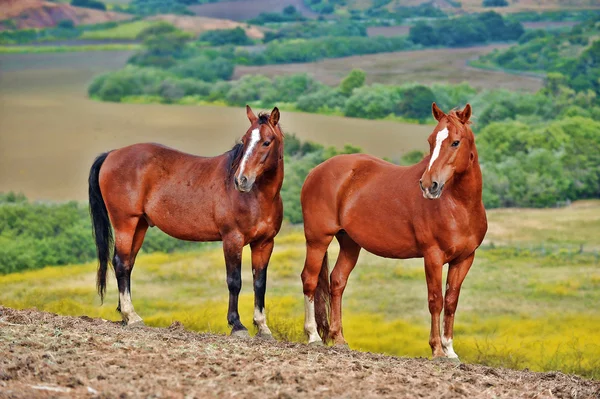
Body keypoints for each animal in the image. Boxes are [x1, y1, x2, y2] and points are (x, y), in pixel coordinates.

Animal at [88, 104, 284, 340]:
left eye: (266, 142)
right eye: (245, 140)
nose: (241, 180)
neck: (258, 197)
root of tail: (112, 154)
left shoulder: (264, 244)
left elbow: (259, 283)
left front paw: (263, 327)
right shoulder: (232, 240)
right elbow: (234, 281)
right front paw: (237, 325)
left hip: (140, 226)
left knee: (127, 265)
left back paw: (125, 314)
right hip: (125, 223)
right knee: (120, 262)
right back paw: (131, 316)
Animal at [300, 102, 488, 360]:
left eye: (455, 142)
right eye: (431, 141)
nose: (429, 185)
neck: (458, 205)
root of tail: (315, 171)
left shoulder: (464, 259)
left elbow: (451, 301)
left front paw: (450, 350)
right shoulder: (433, 256)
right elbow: (435, 300)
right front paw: (437, 349)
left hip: (350, 243)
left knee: (337, 282)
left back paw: (339, 339)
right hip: (318, 239)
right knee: (309, 279)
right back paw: (313, 336)